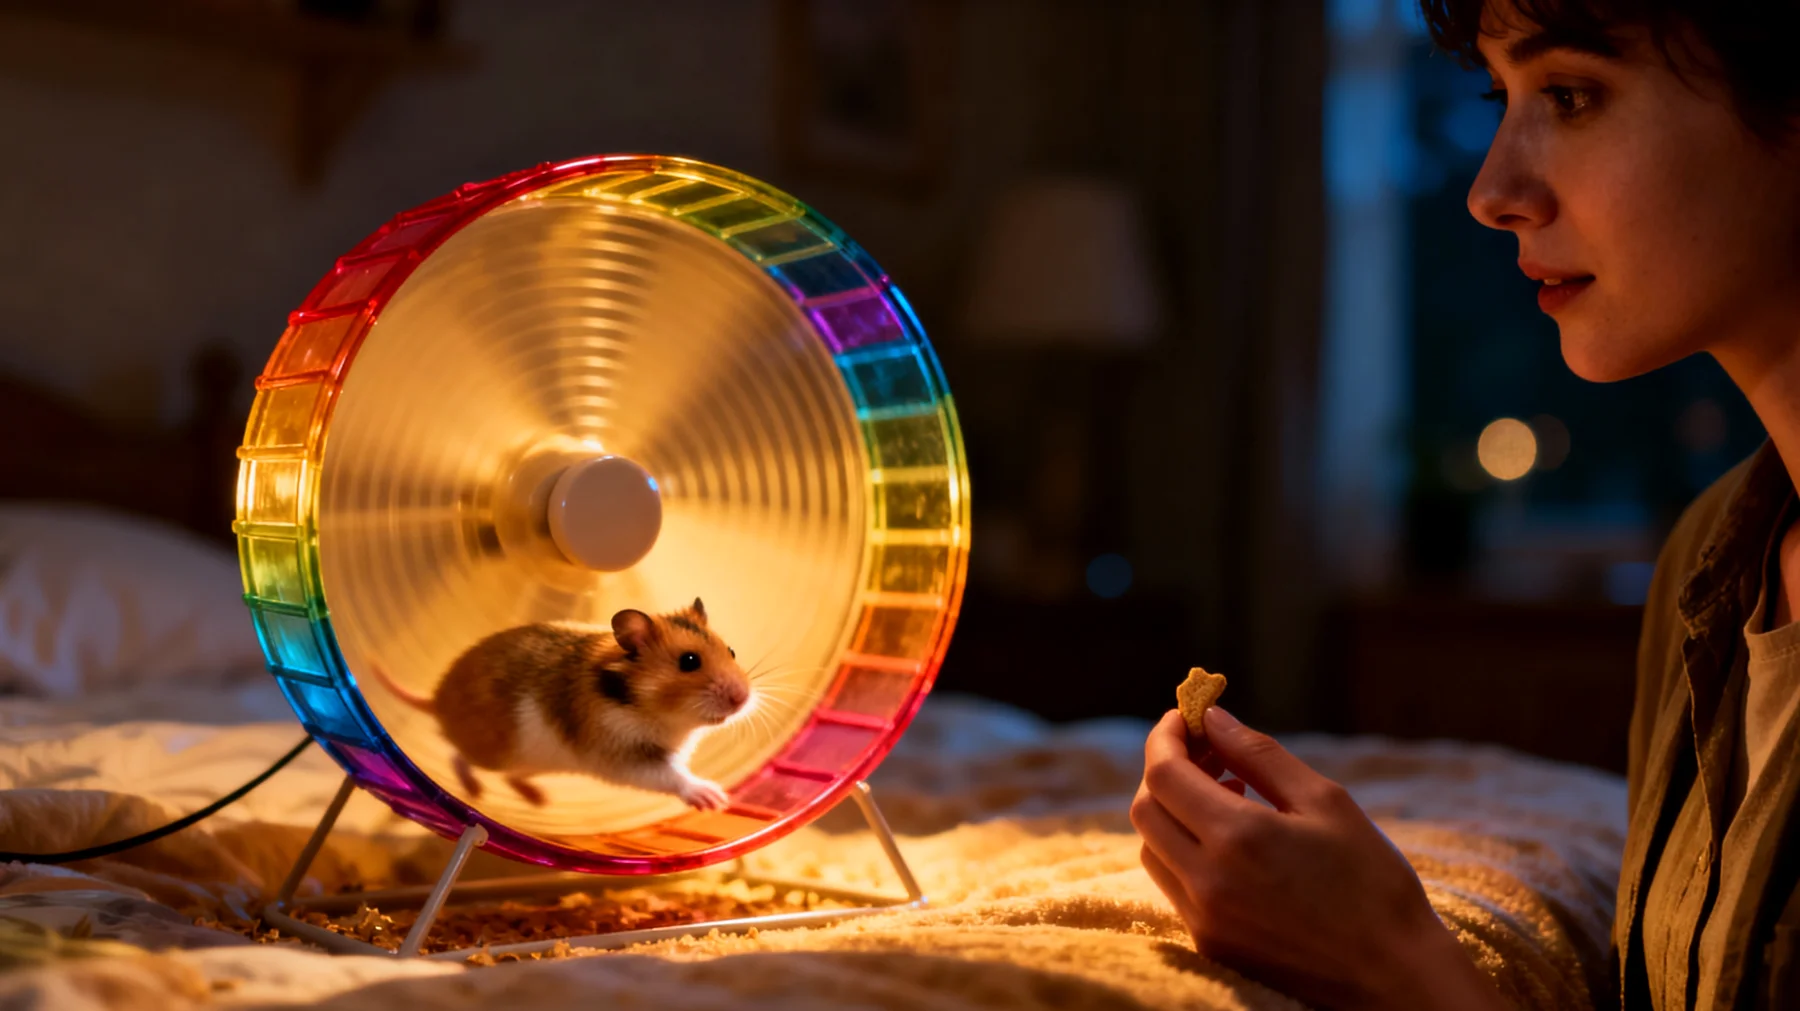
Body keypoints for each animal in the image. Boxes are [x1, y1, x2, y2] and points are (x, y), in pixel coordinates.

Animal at [368, 598, 752, 811]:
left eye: (733, 651)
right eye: (689, 661)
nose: (743, 698)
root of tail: (436, 700)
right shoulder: (624, 755)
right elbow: (672, 776)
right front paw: (714, 798)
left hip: (528, 762)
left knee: (509, 777)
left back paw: (539, 799)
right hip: (489, 751)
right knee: (457, 757)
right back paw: (475, 792)